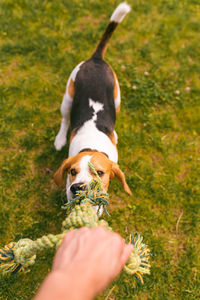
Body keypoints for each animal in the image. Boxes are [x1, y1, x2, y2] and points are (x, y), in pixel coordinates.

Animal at [53, 1, 132, 202]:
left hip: (117, 99)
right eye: (72, 171)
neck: (92, 146)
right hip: (67, 98)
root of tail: (96, 59)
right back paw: (59, 139)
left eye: (100, 173)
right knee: (65, 119)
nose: (77, 188)